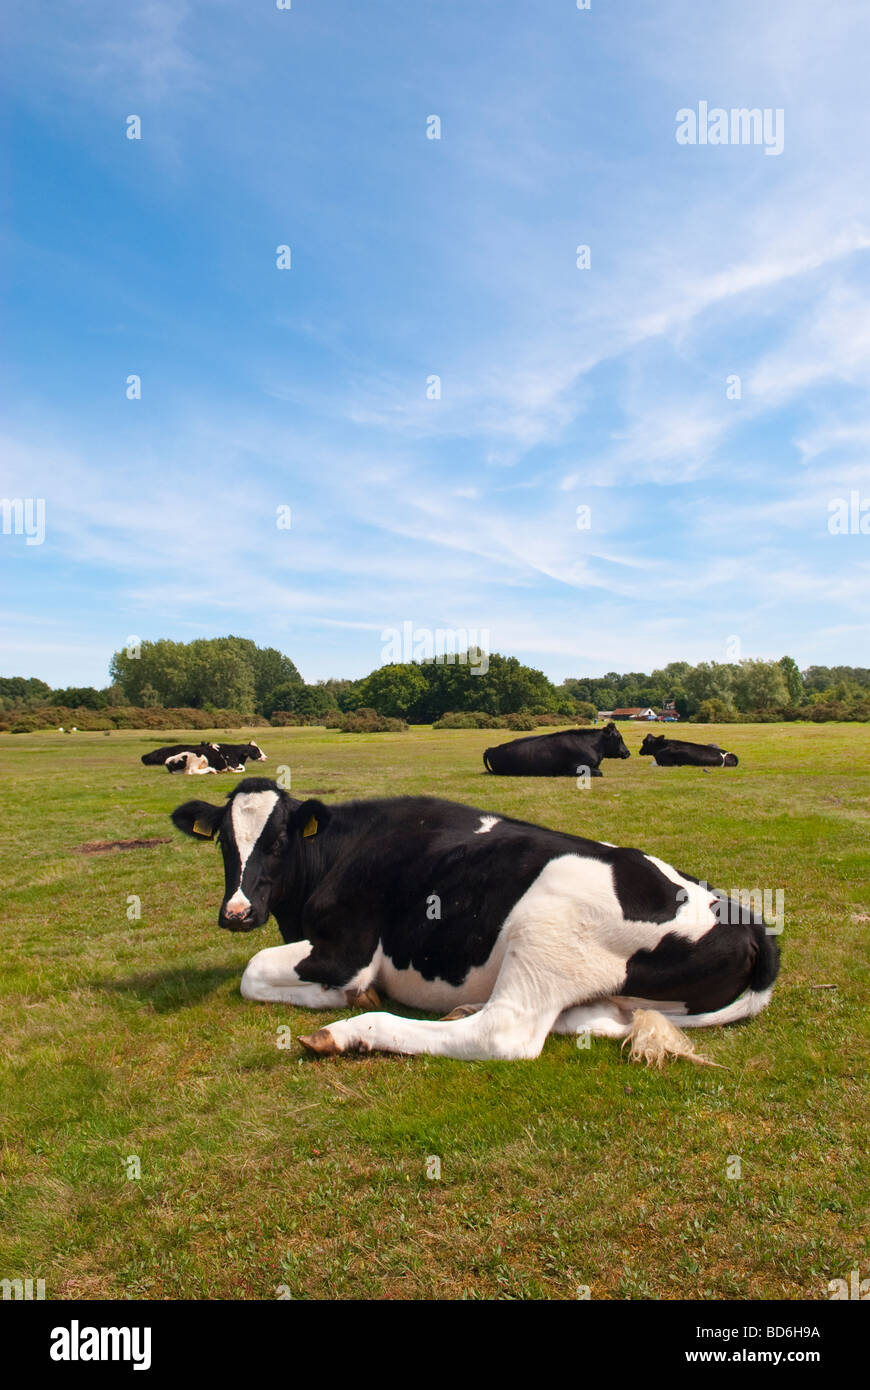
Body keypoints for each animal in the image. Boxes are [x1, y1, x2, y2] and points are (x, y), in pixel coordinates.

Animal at [166, 778, 778, 1056]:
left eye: (278, 842)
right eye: (224, 841)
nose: (237, 913)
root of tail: (746, 918)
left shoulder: (347, 950)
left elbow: (253, 972)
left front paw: (342, 999)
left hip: (544, 928)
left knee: (500, 1034)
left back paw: (346, 1033)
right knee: (593, 1019)